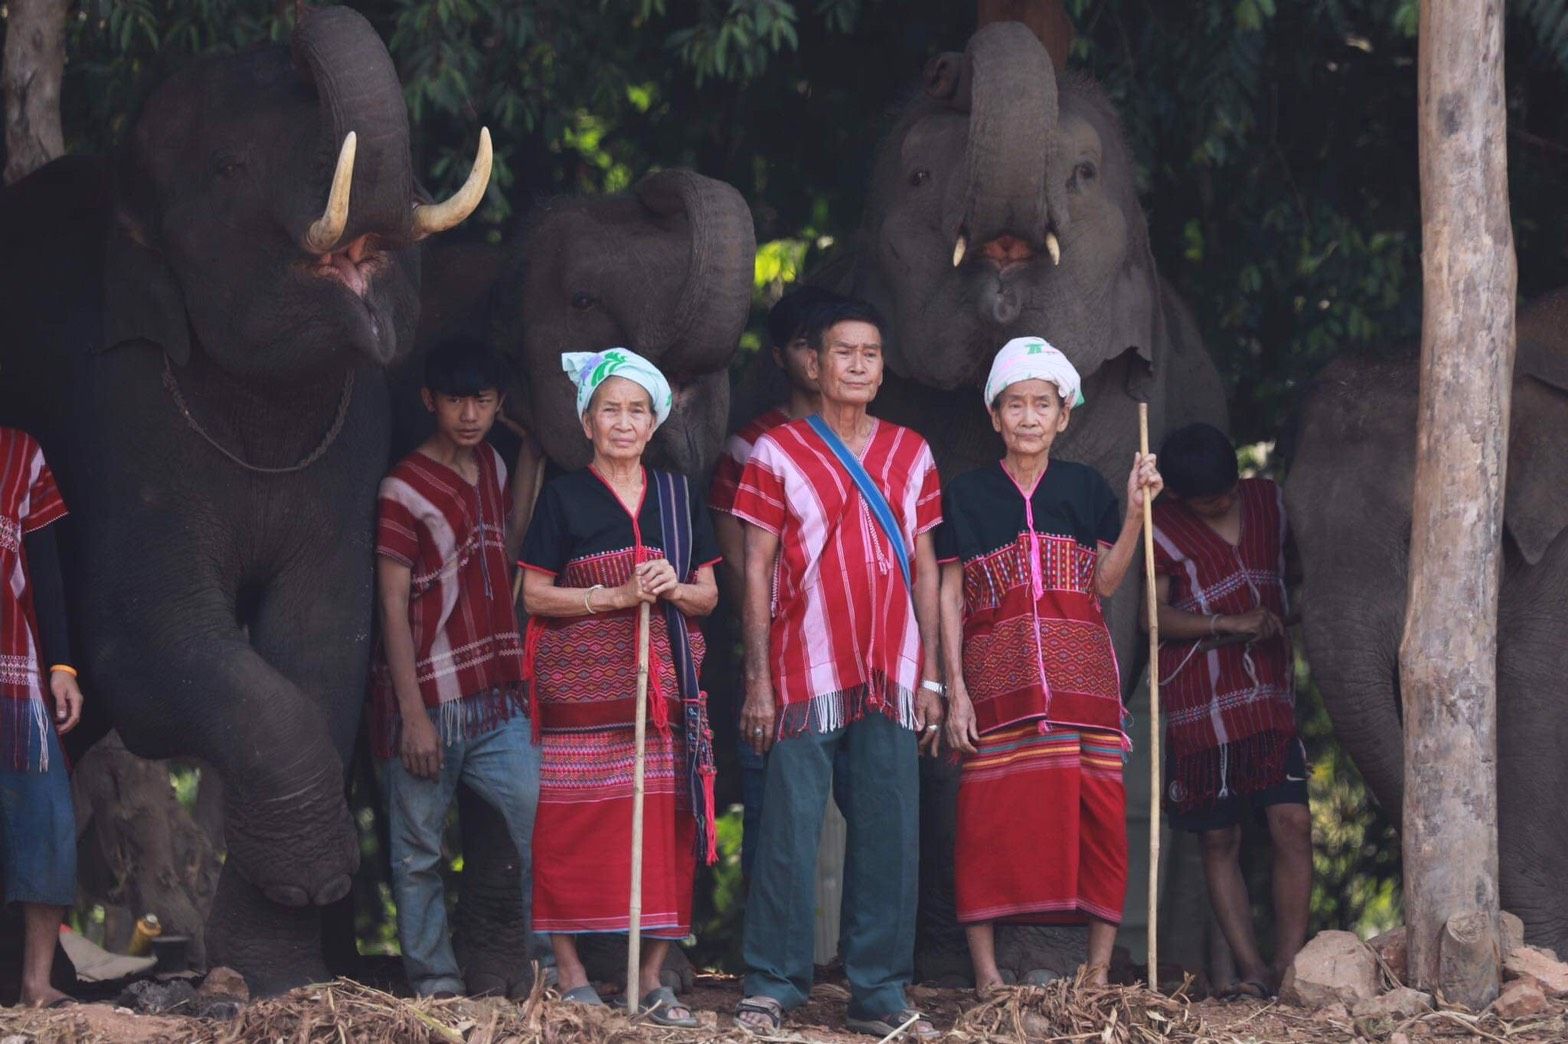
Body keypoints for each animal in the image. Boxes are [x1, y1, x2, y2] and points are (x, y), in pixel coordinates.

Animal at [0, 6, 489, 992]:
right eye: (229, 168)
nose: (290, 27)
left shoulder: (350, 444)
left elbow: (324, 637)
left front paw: (274, 973)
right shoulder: (120, 419)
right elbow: (150, 645)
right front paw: (313, 874)